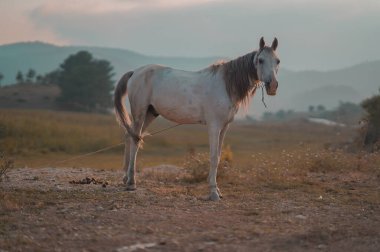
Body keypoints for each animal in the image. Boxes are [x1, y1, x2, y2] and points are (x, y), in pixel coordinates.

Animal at [113, 37, 280, 201]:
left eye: (277, 61)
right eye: (260, 60)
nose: (272, 86)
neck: (225, 85)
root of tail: (135, 72)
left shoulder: (224, 127)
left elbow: (218, 156)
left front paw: (218, 190)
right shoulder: (214, 126)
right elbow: (213, 157)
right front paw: (213, 192)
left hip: (150, 113)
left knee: (131, 136)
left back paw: (125, 178)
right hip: (140, 113)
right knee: (135, 140)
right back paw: (132, 182)